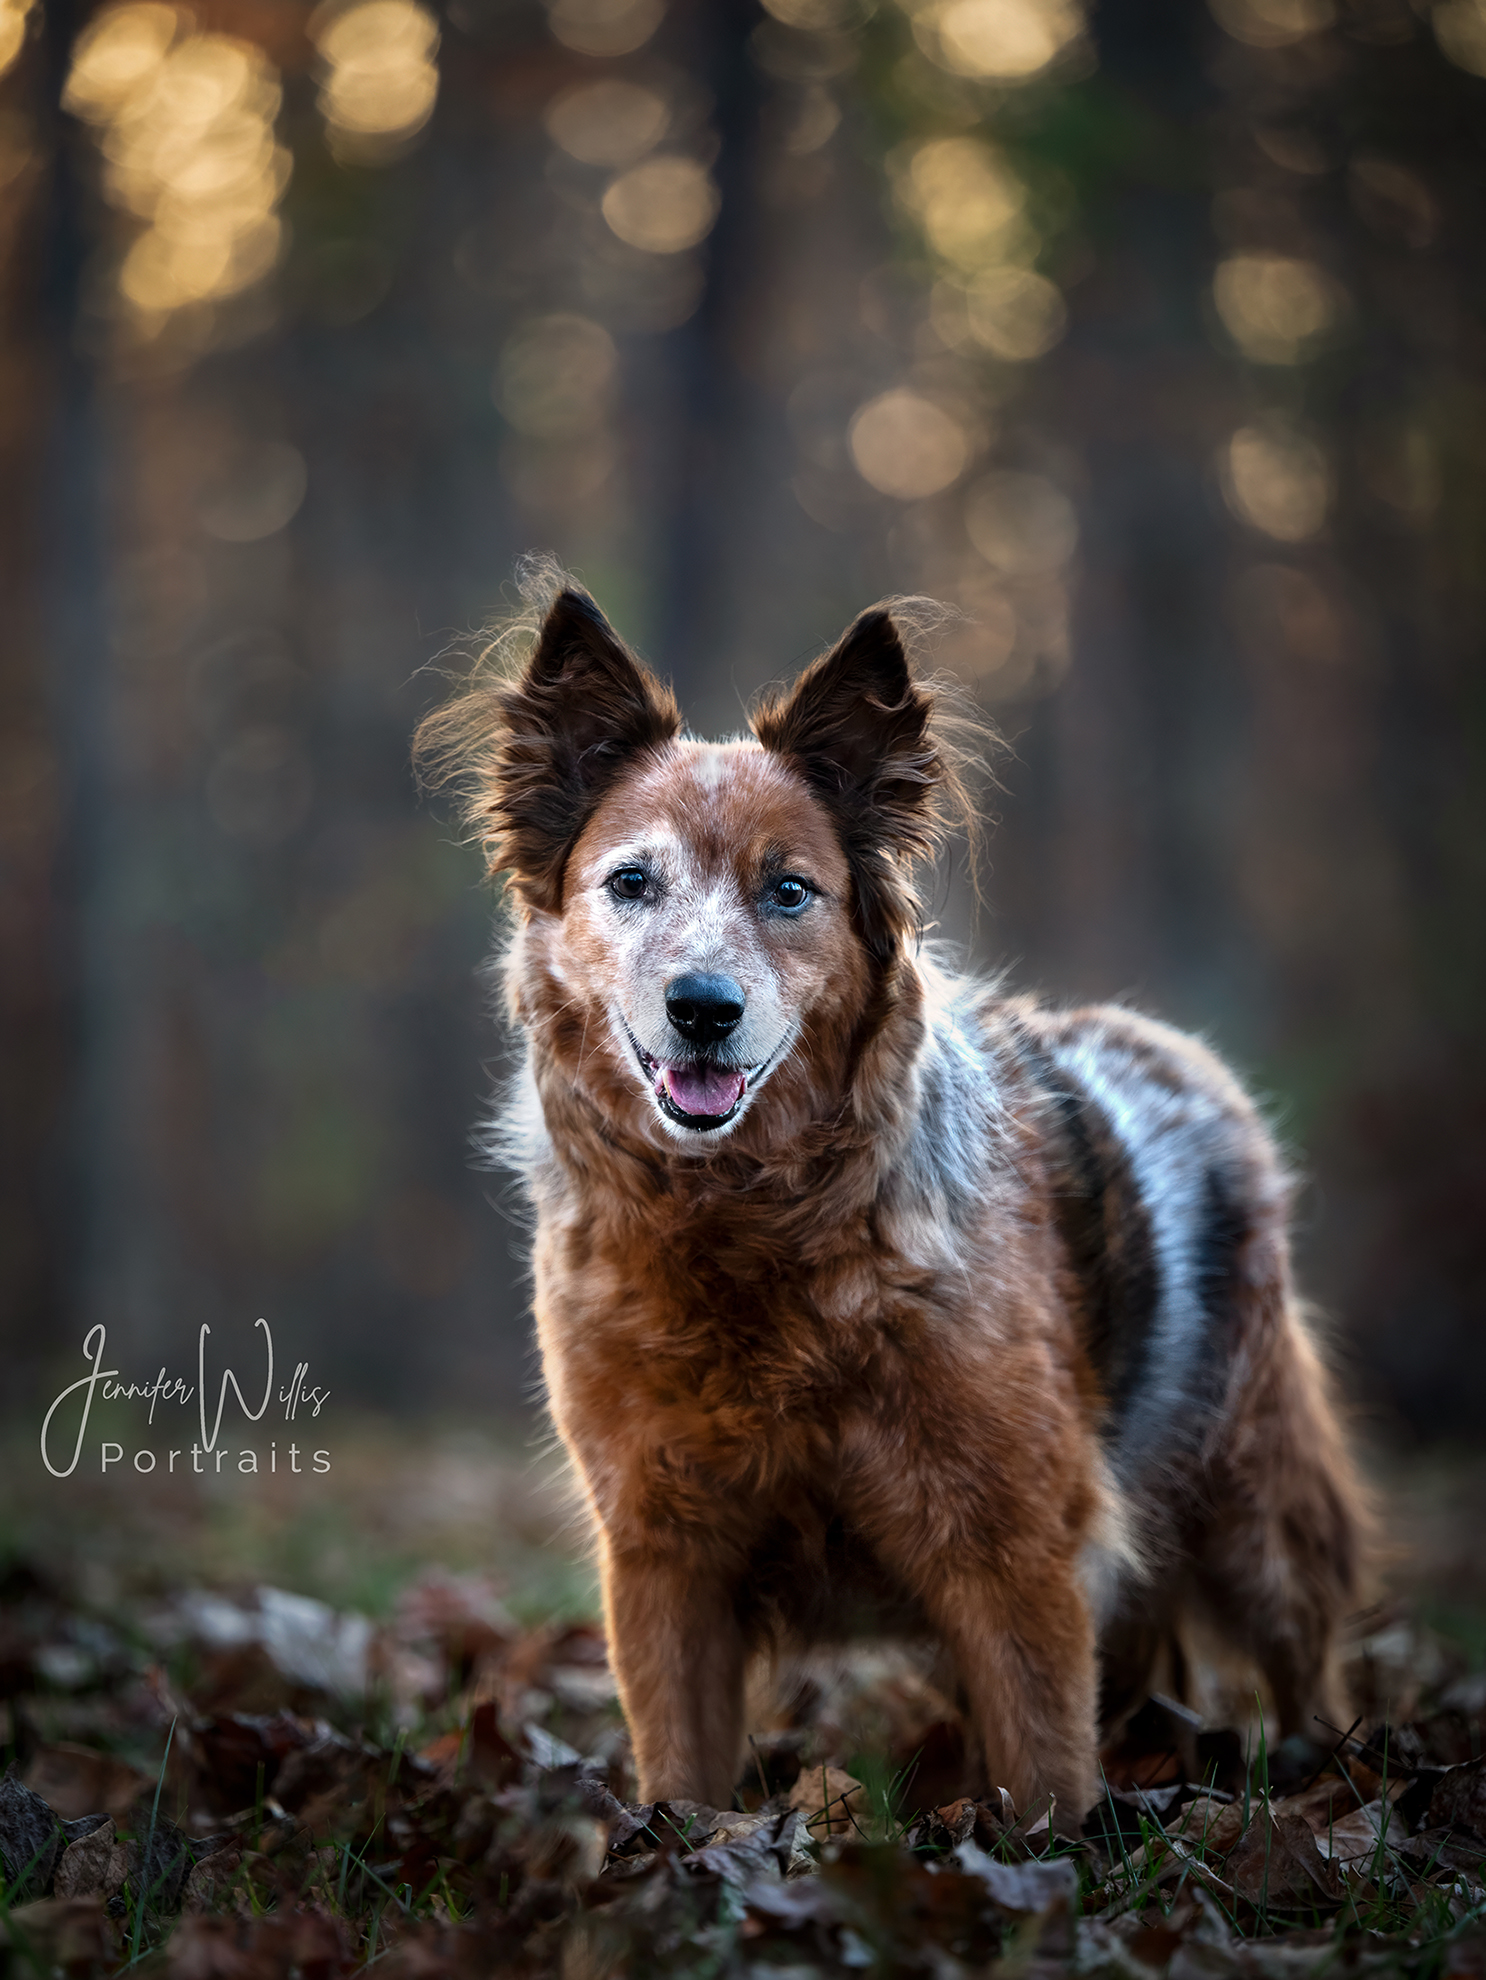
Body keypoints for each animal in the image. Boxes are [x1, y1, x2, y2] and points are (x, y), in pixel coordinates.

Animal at [413, 574, 1369, 1821]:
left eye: (789, 891)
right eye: (630, 883)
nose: (703, 1007)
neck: (750, 1231)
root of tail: (1177, 1055)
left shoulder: (1012, 1558)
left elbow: (1044, 1772)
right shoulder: (666, 1561)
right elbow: (684, 1775)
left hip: (1258, 1512)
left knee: (1304, 1660)